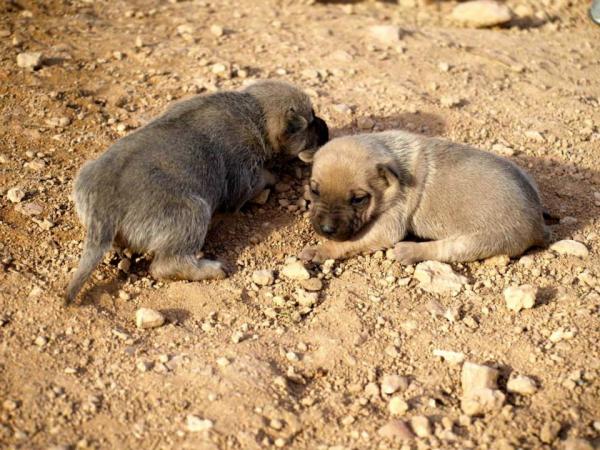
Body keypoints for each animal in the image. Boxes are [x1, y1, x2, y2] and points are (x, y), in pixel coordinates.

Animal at [67, 80, 328, 302]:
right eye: (312, 119)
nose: (325, 125)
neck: (254, 113)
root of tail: (104, 209)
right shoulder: (243, 178)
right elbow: (260, 179)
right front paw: (273, 176)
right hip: (193, 212)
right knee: (165, 265)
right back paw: (210, 269)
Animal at [300, 130, 548, 264]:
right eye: (315, 190)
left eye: (358, 199)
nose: (326, 229)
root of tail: (538, 222)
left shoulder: (389, 224)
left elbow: (351, 242)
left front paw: (320, 250)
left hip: (482, 240)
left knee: (444, 250)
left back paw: (409, 251)